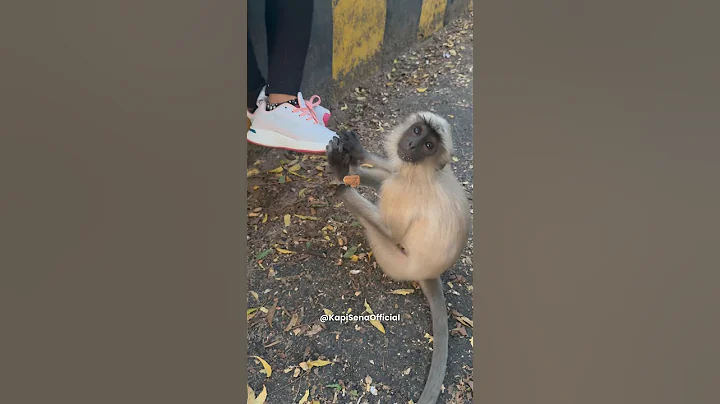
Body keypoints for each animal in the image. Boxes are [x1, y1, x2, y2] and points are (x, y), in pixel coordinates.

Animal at [325, 112, 471, 404]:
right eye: (417, 131)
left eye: (429, 146)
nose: (413, 145)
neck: (427, 174)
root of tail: (428, 273)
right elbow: (393, 169)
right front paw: (356, 152)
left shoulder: (403, 191)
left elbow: (392, 229)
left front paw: (341, 172)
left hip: (396, 261)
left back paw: (343, 179)